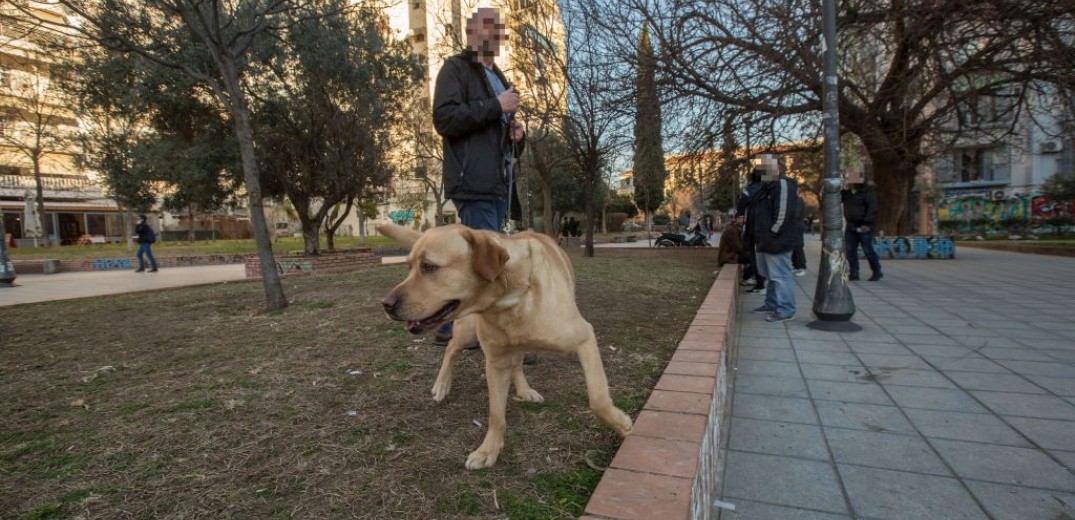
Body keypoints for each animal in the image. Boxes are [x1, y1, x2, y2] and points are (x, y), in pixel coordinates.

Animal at [378, 221, 632, 468]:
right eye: (409, 267)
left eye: (429, 267)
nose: (386, 304)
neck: (508, 299)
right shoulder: (496, 362)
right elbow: (496, 414)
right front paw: (488, 450)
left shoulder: (584, 338)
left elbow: (598, 399)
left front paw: (621, 424)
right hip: (468, 331)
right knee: (451, 349)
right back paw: (442, 385)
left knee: (515, 364)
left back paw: (524, 390)